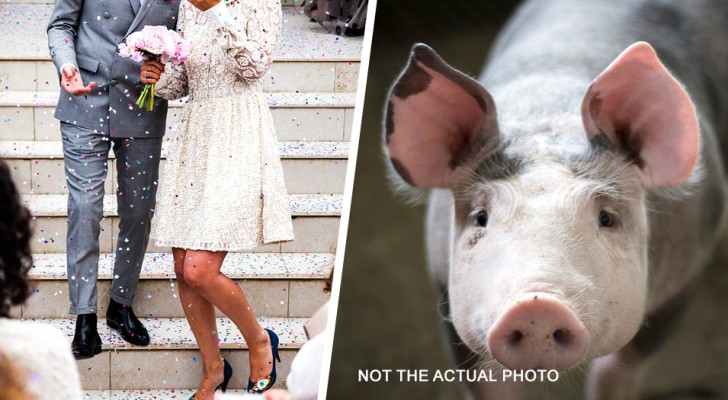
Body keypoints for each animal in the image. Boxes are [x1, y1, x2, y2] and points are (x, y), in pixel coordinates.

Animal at [384, 0, 728, 396]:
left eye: (606, 217)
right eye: (481, 216)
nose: (537, 306)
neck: (548, 114)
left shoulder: (681, 281)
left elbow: (614, 374)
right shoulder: (444, 289)